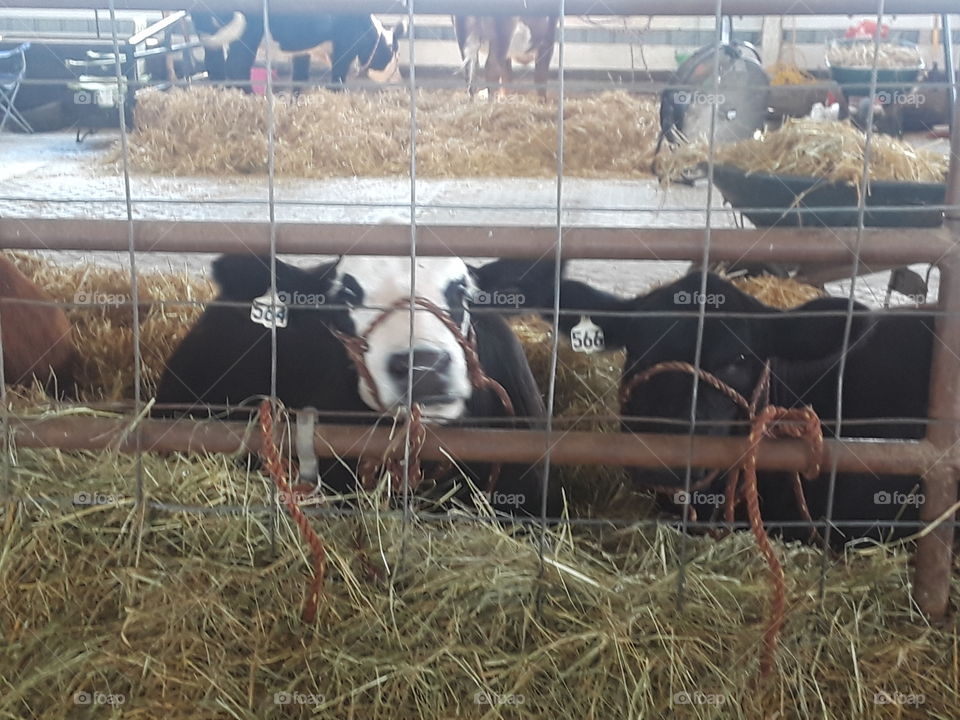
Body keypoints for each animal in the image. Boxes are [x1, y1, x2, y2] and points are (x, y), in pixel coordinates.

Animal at [192, 11, 403, 89]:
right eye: (394, 51)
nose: (397, 78)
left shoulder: (303, 48)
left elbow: (300, 76)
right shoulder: (344, 47)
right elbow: (338, 77)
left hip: (205, 28)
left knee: (215, 64)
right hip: (249, 30)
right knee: (237, 65)